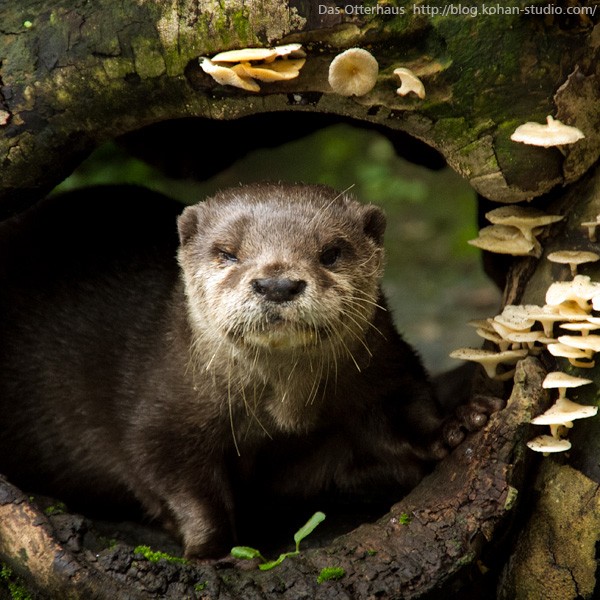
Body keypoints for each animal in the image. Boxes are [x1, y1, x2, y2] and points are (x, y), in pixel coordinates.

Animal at [0, 183, 492, 556]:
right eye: (228, 253)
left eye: (332, 252)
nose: (277, 283)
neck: (281, 413)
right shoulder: (161, 413)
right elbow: (178, 483)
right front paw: (213, 551)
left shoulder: (385, 373)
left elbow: (408, 413)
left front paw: (458, 424)